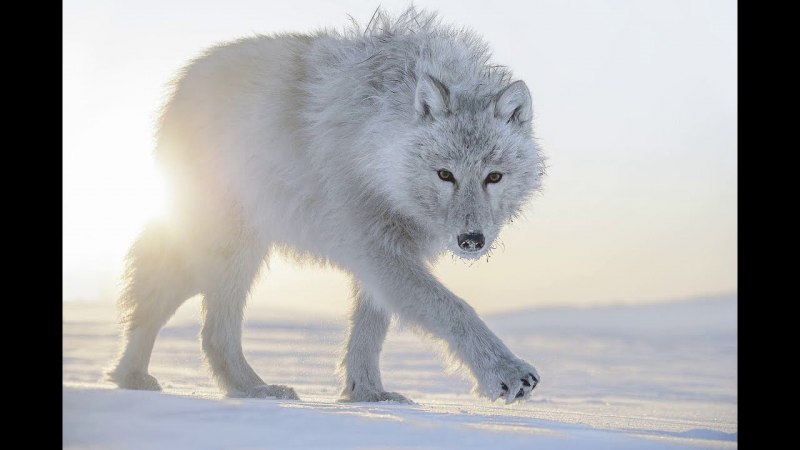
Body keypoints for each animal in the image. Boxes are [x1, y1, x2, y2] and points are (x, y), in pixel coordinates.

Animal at [107, 6, 545, 404]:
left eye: (493, 177)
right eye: (445, 174)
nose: (471, 240)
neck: (378, 141)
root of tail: (184, 80)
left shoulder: (387, 253)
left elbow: (369, 332)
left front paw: (368, 394)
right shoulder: (375, 246)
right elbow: (454, 308)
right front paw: (506, 372)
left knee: (159, 305)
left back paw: (133, 377)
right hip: (230, 251)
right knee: (207, 329)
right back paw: (254, 389)